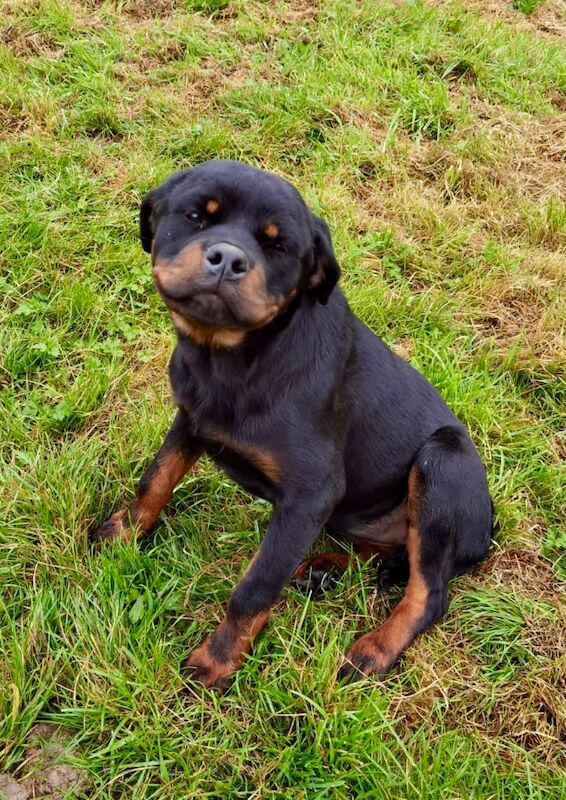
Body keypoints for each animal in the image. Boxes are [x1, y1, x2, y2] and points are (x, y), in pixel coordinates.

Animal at [92, 158, 492, 688]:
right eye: (196, 216)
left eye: (277, 246)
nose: (227, 259)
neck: (238, 358)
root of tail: (487, 532)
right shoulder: (191, 420)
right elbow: (156, 478)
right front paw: (122, 532)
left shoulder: (310, 493)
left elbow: (256, 585)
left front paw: (217, 661)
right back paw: (322, 568)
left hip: (441, 462)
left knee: (428, 592)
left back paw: (374, 650)